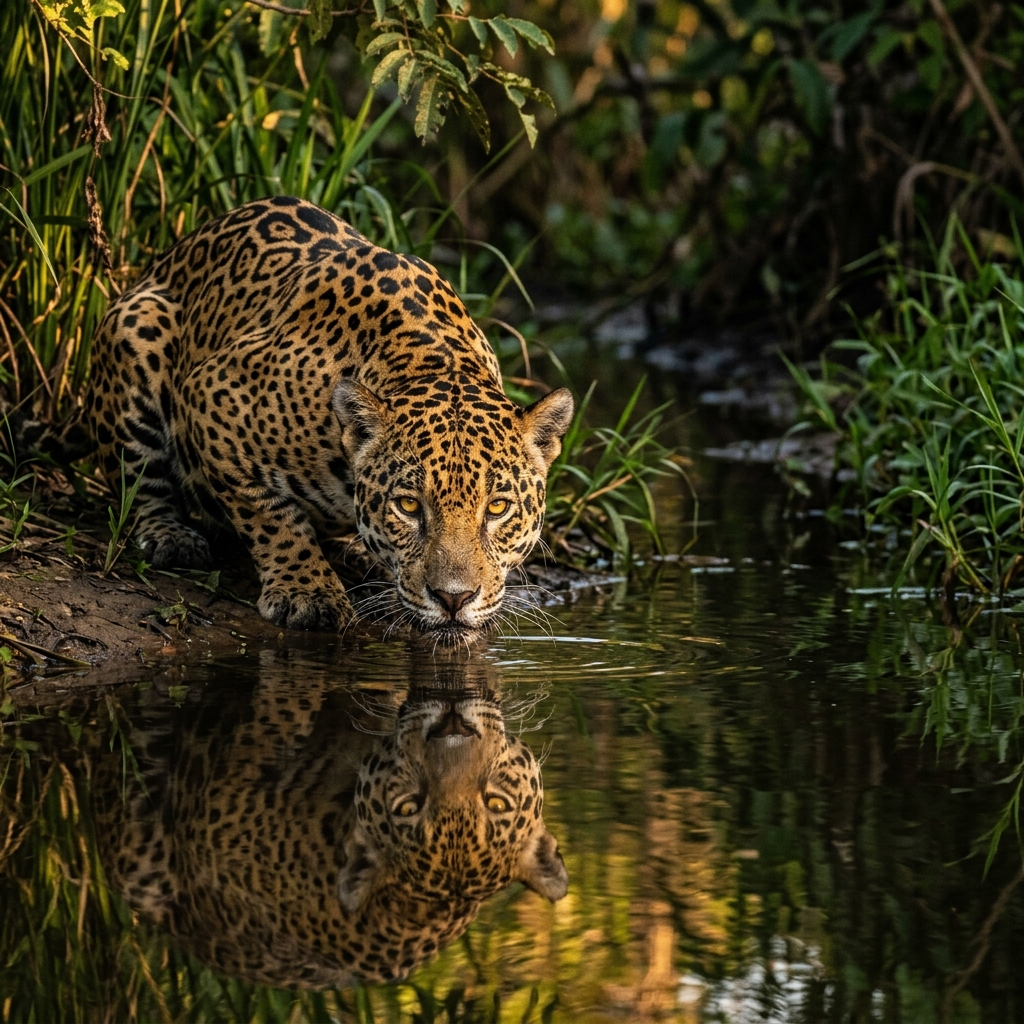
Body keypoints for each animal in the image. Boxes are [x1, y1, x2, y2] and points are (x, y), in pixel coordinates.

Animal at [46, 196, 574, 637]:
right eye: (408, 506)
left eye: (498, 508)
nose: (453, 599)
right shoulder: (211, 395)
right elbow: (270, 514)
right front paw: (308, 591)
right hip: (137, 328)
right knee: (138, 479)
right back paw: (170, 536)